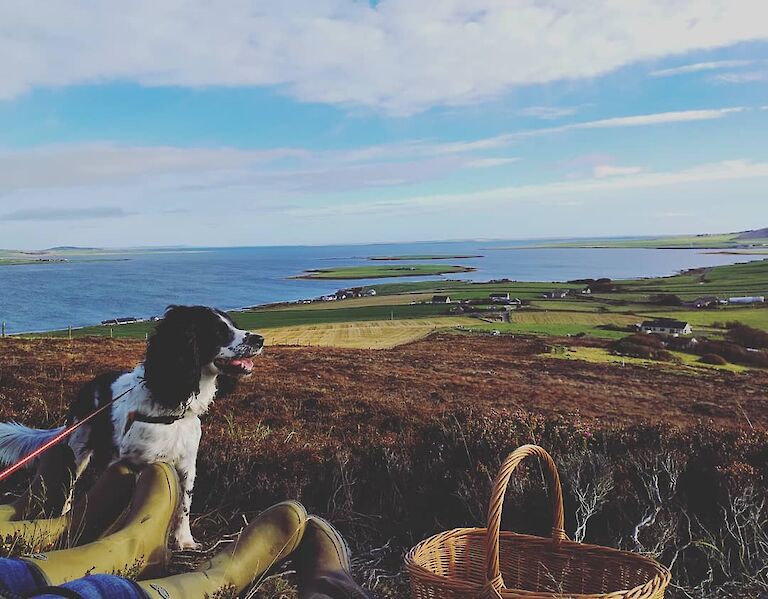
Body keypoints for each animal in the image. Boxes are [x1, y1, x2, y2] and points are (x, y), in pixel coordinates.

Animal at [0, 308, 264, 552]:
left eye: (234, 324)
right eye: (218, 330)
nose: (259, 339)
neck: (170, 402)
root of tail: (89, 387)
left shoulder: (187, 465)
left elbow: (184, 507)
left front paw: (185, 541)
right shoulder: (135, 465)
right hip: (79, 449)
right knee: (71, 487)